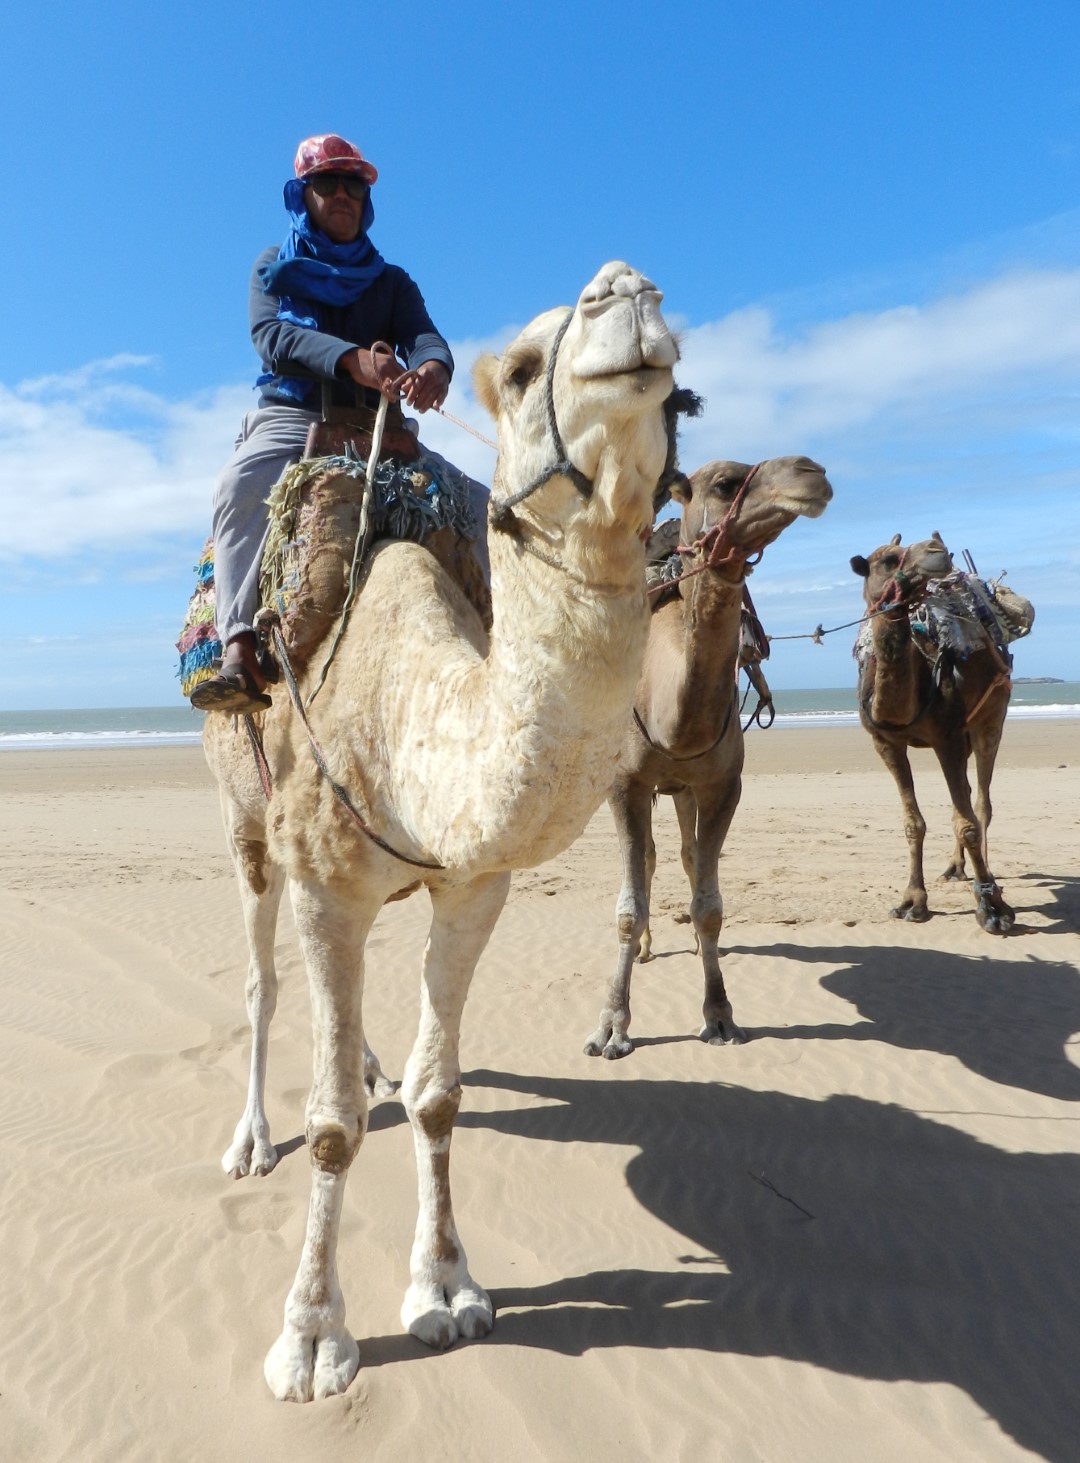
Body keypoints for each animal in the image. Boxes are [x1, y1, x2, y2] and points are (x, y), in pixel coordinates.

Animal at [579, 450, 831, 1059]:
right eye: (724, 484)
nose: (812, 472)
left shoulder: (722, 784)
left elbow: (710, 903)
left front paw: (719, 1015)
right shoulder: (624, 785)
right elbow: (628, 906)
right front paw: (611, 1027)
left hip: (684, 788)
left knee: (689, 858)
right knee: (648, 861)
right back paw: (648, 949)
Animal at [842, 532, 1012, 930]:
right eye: (888, 560)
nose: (936, 547)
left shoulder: (946, 736)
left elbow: (968, 822)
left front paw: (992, 906)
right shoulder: (886, 743)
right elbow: (912, 823)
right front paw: (912, 902)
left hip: (991, 718)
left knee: (980, 804)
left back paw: (984, 874)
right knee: (965, 797)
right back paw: (955, 868)